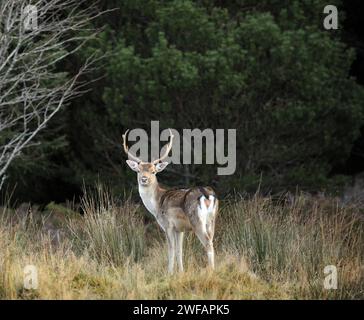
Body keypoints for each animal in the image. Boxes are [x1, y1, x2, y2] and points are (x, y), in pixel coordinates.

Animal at [123, 129, 218, 274]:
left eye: (153, 171)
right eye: (138, 171)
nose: (144, 179)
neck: (156, 205)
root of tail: (207, 195)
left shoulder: (167, 224)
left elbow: (171, 249)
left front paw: (169, 273)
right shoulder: (180, 229)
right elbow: (179, 251)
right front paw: (181, 272)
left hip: (197, 221)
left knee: (208, 243)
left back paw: (211, 271)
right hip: (212, 220)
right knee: (212, 240)